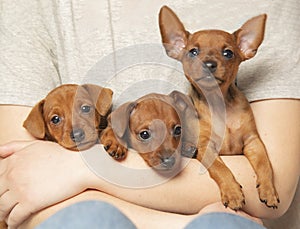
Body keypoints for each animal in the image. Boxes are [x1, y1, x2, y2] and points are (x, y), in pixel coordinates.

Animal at [159, 5, 278, 209]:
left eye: (228, 53)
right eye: (193, 52)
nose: (208, 64)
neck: (219, 105)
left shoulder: (253, 141)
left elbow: (265, 164)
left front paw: (268, 189)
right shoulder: (206, 147)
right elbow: (220, 168)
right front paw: (232, 192)